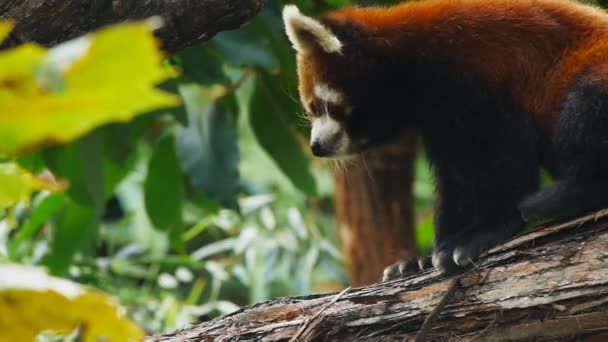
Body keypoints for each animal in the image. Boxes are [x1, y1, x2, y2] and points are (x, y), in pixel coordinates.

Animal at [284, 0, 608, 280]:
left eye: (323, 107)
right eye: (311, 110)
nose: (316, 147)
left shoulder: (490, 80)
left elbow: (505, 158)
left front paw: (486, 230)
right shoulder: (441, 123)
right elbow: (456, 180)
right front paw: (425, 259)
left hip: (593, 72)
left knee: (582, 109)